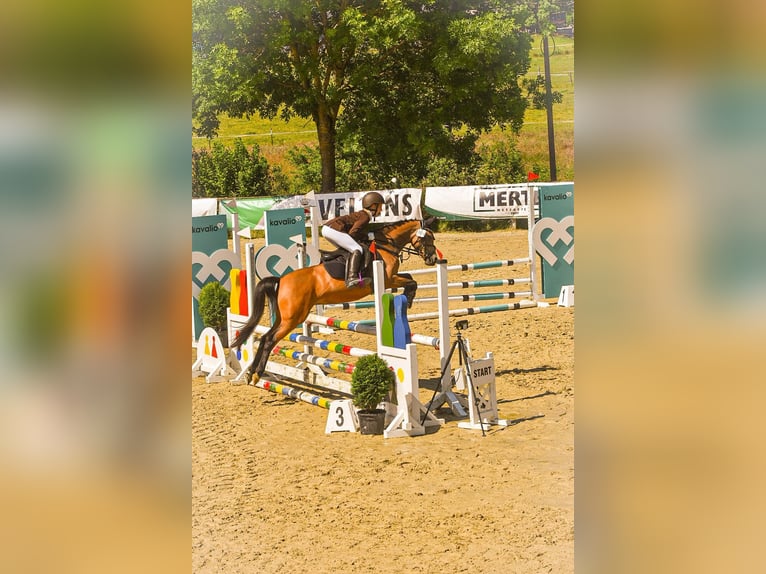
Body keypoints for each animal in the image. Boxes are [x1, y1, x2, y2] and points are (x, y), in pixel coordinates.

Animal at [231, 218, 440, 384]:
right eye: (428, 238)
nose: (432, 259)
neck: (385, 246)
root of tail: (281, 280)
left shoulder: (391, 279)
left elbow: (409, 277)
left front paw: (408, 297)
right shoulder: (388, 279)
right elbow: (411, 280)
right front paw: (409, 298)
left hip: (286, 317)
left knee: (265, 337)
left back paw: (250, 373)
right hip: (293, 319)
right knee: (269, 340)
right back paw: (256, 374)